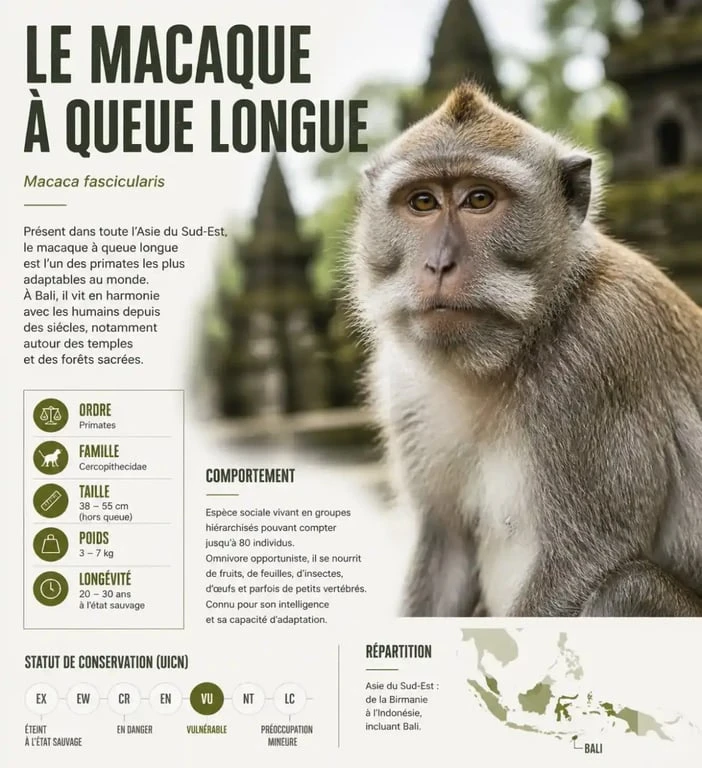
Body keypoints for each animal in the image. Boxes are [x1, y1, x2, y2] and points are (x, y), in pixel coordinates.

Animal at [347, 81, 702, 618]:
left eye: (479, 199)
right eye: (423, 202)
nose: (439, 264)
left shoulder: (597, 363)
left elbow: (583, 561)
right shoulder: (405, 384)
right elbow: (447, 547)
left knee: (626, 588)